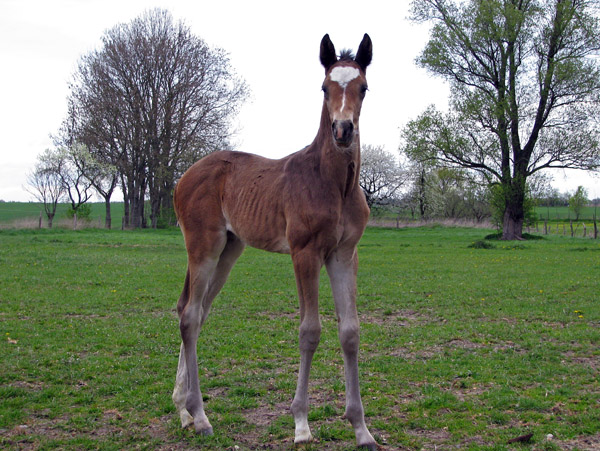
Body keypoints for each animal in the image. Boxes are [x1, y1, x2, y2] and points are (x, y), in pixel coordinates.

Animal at [171, 33, 376, 450]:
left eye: (363, 87)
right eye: (324, 87)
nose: (342, 130)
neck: (334, 183)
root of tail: (182, 179)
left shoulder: (344, 254)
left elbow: (350, 331)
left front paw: (361, 428)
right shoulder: (305, 253)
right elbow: (310, 331)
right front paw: (301, 424)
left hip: (229, 250)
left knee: (194, 311)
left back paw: (183, 411)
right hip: (203, 246)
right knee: (189, 315)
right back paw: (200, 417)